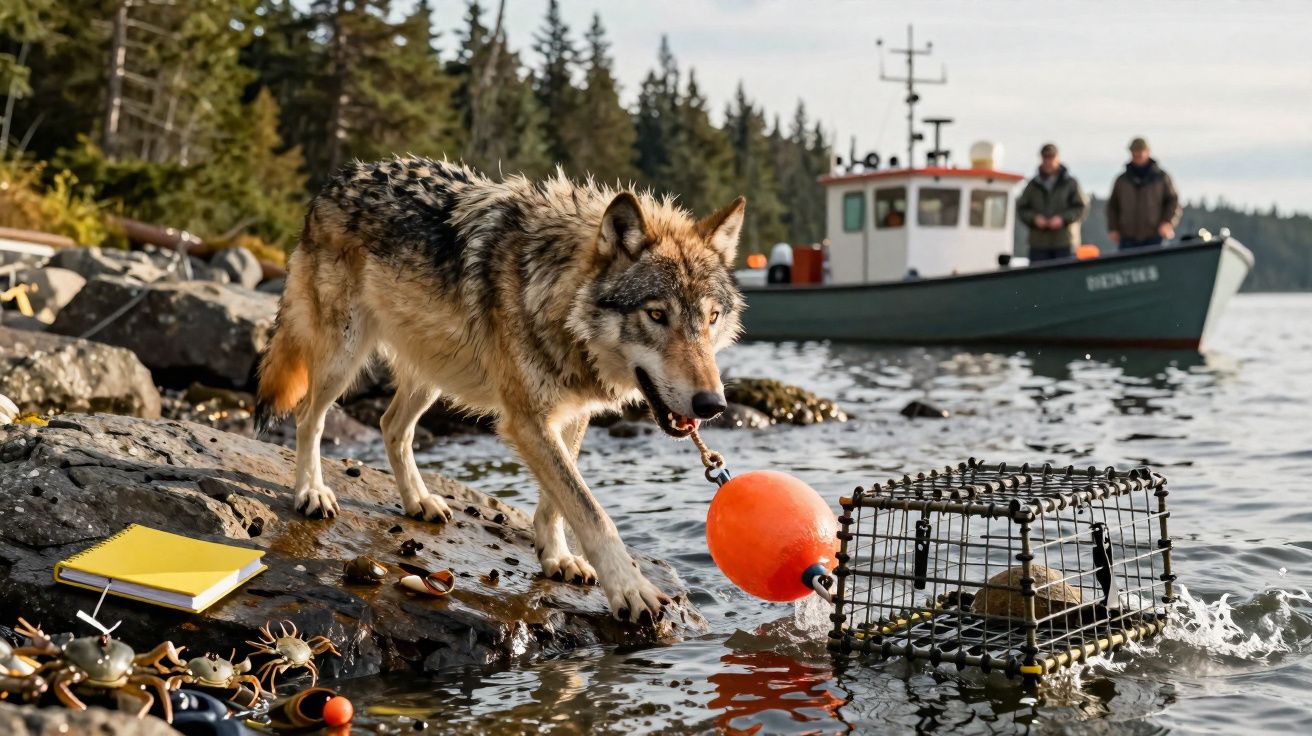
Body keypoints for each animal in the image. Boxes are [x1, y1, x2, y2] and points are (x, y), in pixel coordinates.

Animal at [254, 156, 746, 623]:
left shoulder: (570, 414)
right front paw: (629, 589)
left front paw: (557, 557)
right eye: (657, 315)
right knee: (309, 417)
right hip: (344, 357)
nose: (712, 404)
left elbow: (558, 502)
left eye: (711, 318)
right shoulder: (526, 419)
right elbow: (591, 511)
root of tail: (337, 179)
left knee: (391, 425)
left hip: (432, 374)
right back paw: (312, 493)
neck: (553, 294)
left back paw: (418, 501)